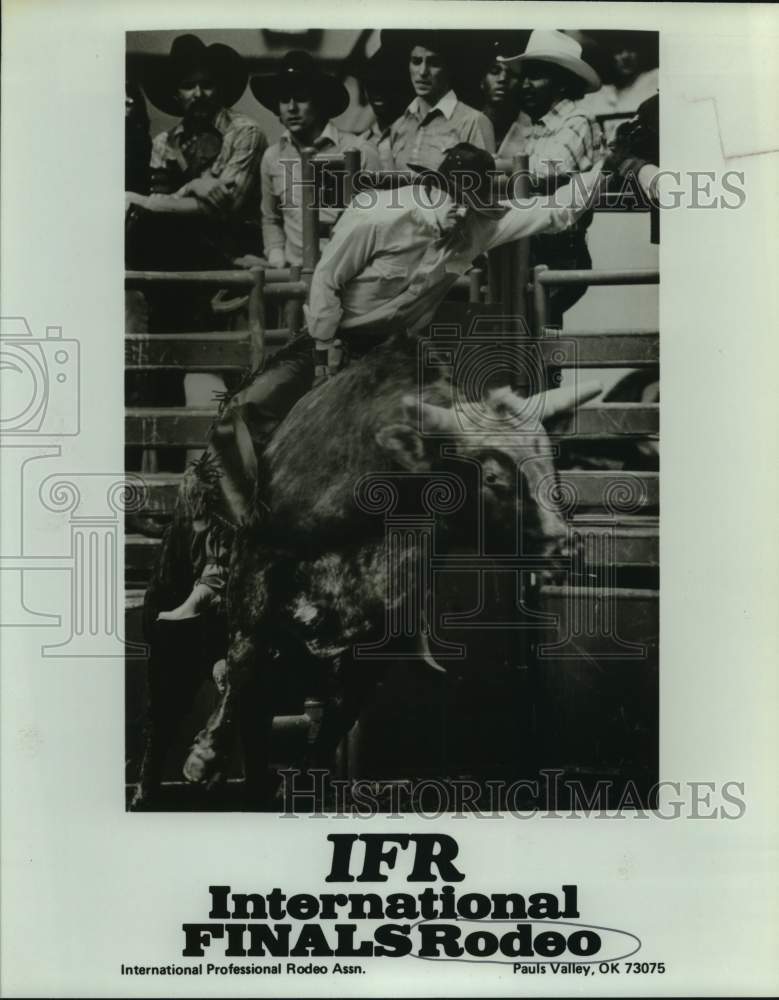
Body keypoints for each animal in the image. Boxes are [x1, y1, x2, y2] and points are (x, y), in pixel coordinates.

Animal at [131, 332, 600, 808]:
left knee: (256, 724)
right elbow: (244, 656)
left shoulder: (372, 652)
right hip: (168, 630)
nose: (563, 544)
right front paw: (204, 757)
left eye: (549, 460)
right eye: (490, 476)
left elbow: (326, 735)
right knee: (163, 717)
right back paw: (147, 793)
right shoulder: (255, 569)